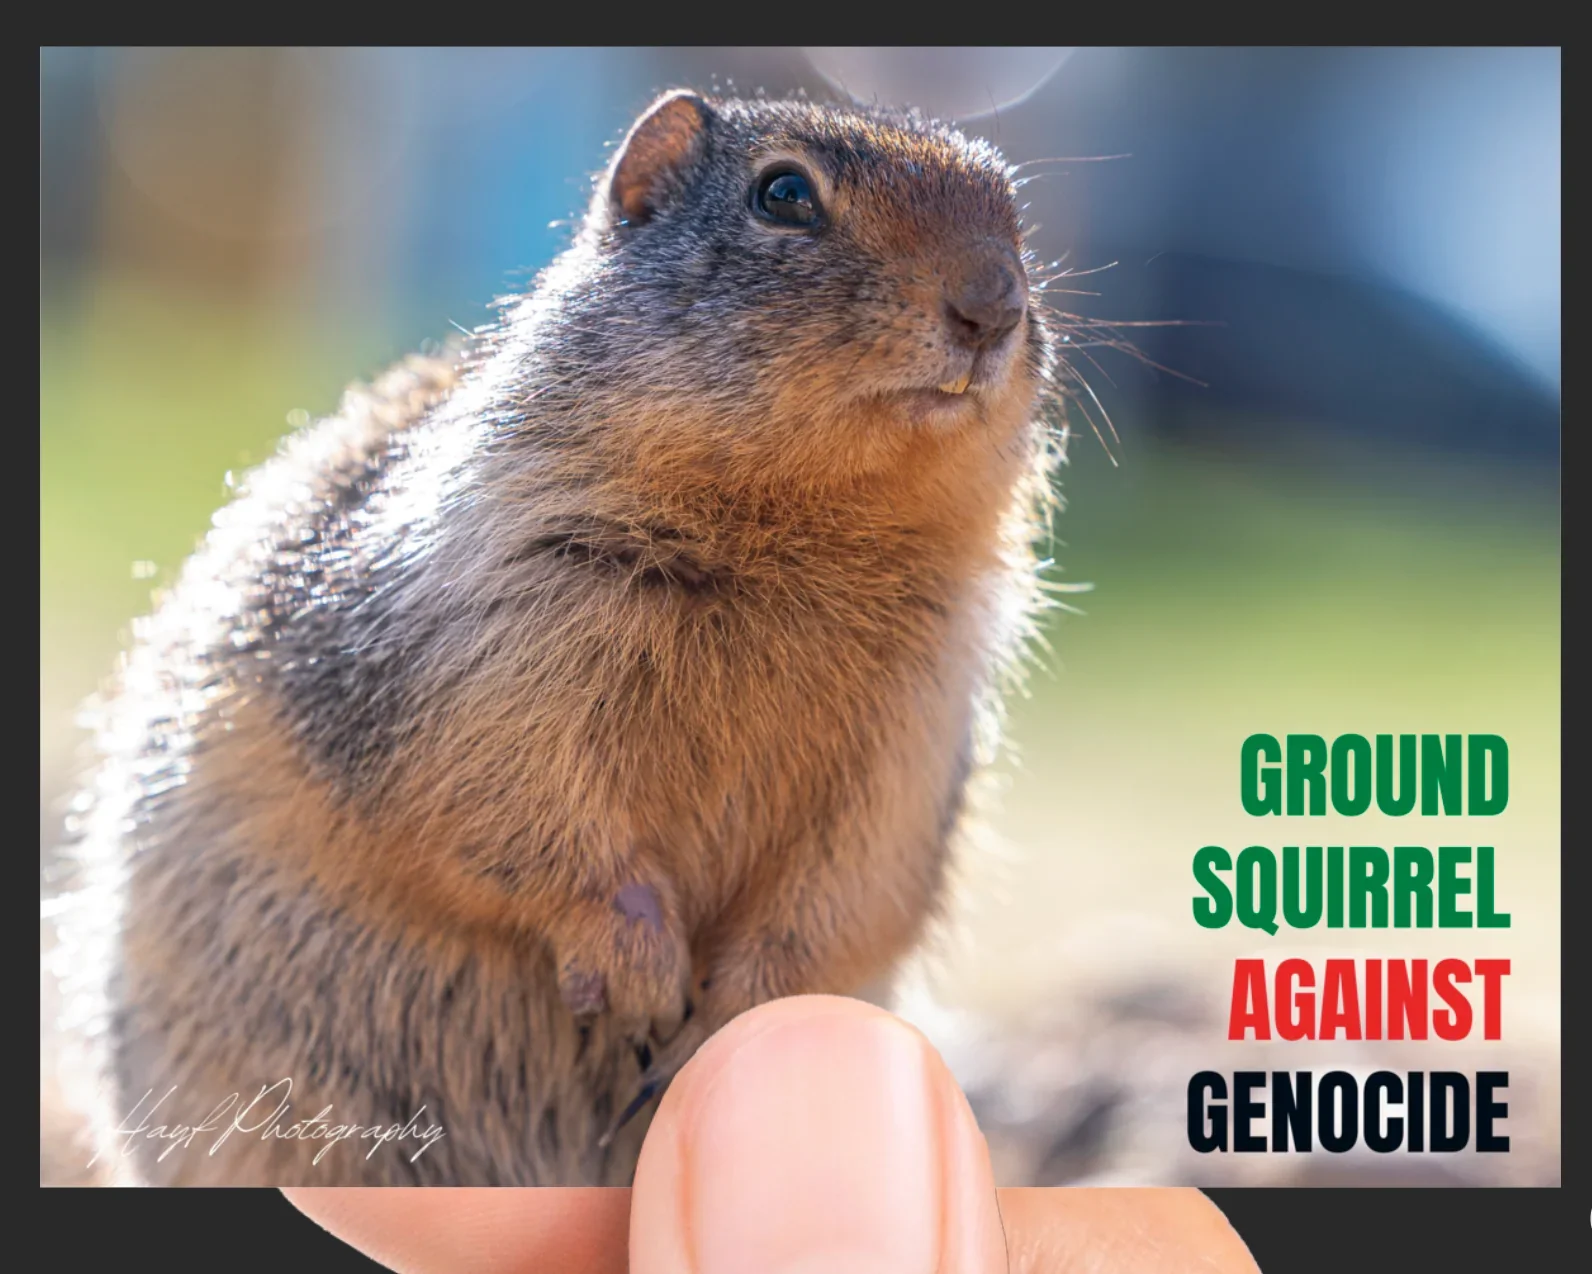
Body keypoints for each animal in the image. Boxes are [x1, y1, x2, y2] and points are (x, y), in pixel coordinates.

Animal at [48, 89, 1063, 1185]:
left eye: (1015, 218)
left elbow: (857, 876)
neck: (797, 527)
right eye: (784, 194)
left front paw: (728, 1019)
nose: (992, 304)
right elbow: (512, 796)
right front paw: (639, 971)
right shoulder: (485, 622)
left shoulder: (923, 712)